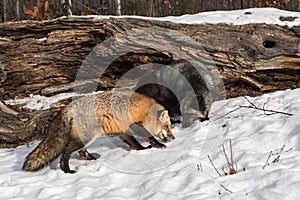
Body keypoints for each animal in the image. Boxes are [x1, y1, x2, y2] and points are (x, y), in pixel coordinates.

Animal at [22, 89, 175, 173]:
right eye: (167, 126)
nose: (173, 138)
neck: (141, 110)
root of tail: (67, 107)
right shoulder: (132, 126)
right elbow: (148, 138)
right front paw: (156, 146)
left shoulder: (123, 131)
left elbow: (134, 144)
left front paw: (142, 150)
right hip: (86, 138)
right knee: (65, 154)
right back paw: (67, 171)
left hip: (86, 139)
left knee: (82, 153)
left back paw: (93, 159)